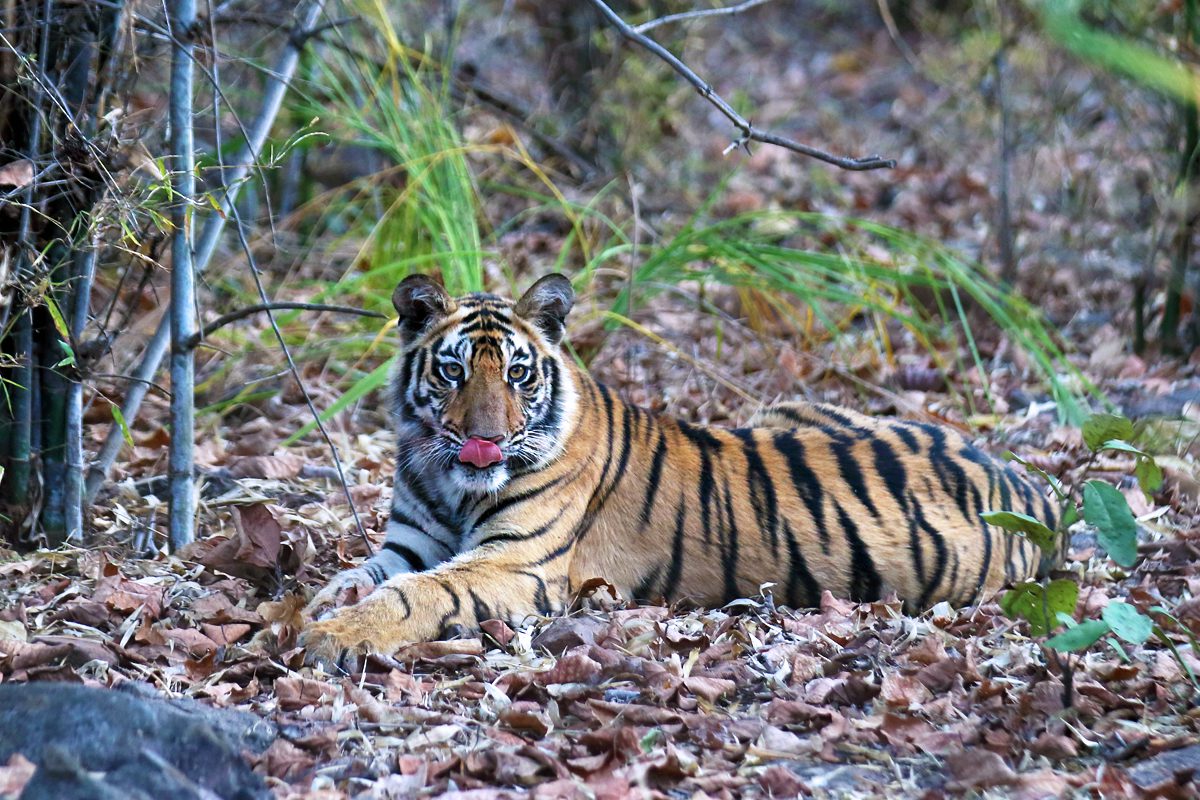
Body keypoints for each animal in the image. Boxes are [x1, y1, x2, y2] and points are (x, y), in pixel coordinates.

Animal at [302, 273, 1060, 657]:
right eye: (453, 371)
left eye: (517, 373)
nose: (485, 440)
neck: (448, 484)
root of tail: (1034, 488)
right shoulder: (410, 541)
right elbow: (359, 575)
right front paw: (310, 609)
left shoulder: (518, 564)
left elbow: (419, 593)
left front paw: (332, 635)